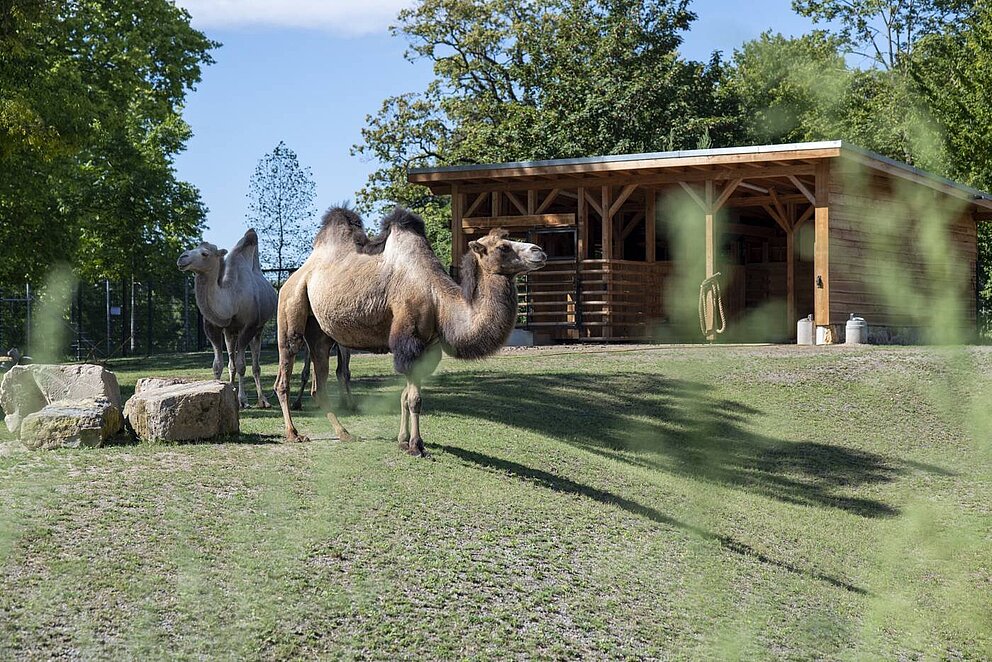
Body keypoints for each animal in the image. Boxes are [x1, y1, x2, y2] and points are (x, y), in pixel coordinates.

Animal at [177, 230, 278, 410]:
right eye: (193, 247)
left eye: (205, 253)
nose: (182, 257)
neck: (232, 297)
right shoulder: (214, 327)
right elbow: (218, 365)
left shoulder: (249, 327)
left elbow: (242, 365)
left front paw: (243, 400)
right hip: (230, 332)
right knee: (232, 363)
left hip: (258, 329)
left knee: (255, 365)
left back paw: (263, 401)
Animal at [276, 208, 548, 456]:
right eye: (503, 247)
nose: (540, 251)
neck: (438, 300)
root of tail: (296, 274)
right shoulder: (408, 343)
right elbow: (414, 399)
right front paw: (416, 446)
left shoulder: (428, 348)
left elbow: (405, 396)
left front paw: (403, 440)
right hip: (291, 307)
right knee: (285, 371)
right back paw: (293, 433)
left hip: (320, 333)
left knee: (319, 382)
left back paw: (343, 433)